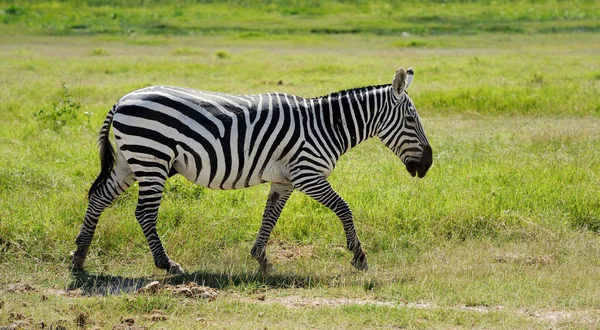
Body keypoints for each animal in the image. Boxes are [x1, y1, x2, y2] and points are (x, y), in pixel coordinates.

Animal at [72, 66, 434, 274]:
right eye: (411, 119)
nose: (428, 164)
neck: (326, 126)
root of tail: (123, 99)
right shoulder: (308, 174)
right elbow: (344, 208)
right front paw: (359, 257)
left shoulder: (285, 180)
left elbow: (269, 217)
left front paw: (260, 257)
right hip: (152, 159)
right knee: (144, 213)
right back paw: (166, 264)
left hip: (130, 161)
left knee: (100, 197)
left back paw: (79, 255)